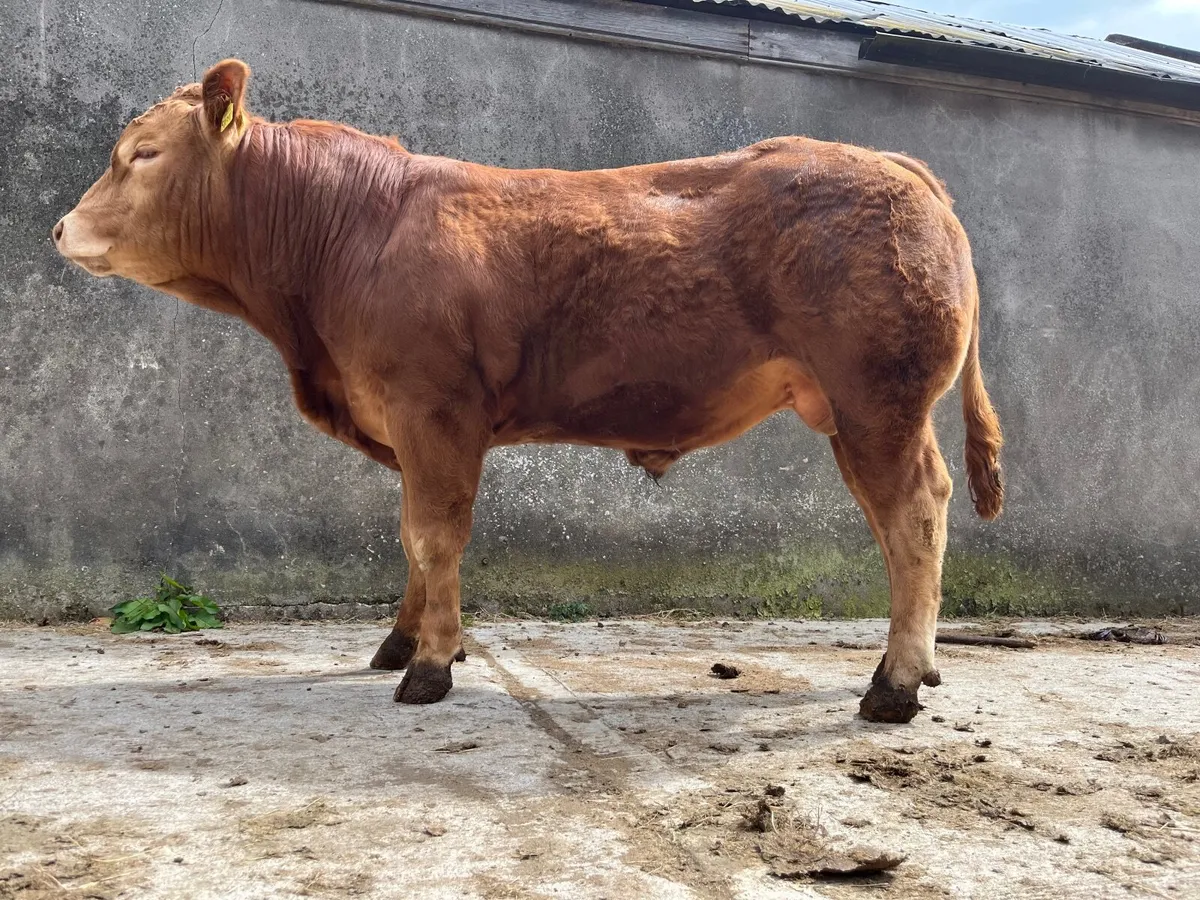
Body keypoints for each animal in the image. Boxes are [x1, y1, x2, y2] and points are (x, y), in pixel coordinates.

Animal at [54, 59, 1003, 723]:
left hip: (878, 404)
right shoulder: (409, 424)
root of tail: (892, 164)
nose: (60, 227)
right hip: (863, 410)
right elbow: (411, 538)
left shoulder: (433, 408)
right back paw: (920, 663)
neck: (346, 239)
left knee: (915, 514)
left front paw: (431, 667)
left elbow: (433, 534)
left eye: (142, 154)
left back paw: (895, 685)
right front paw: (402, 641)